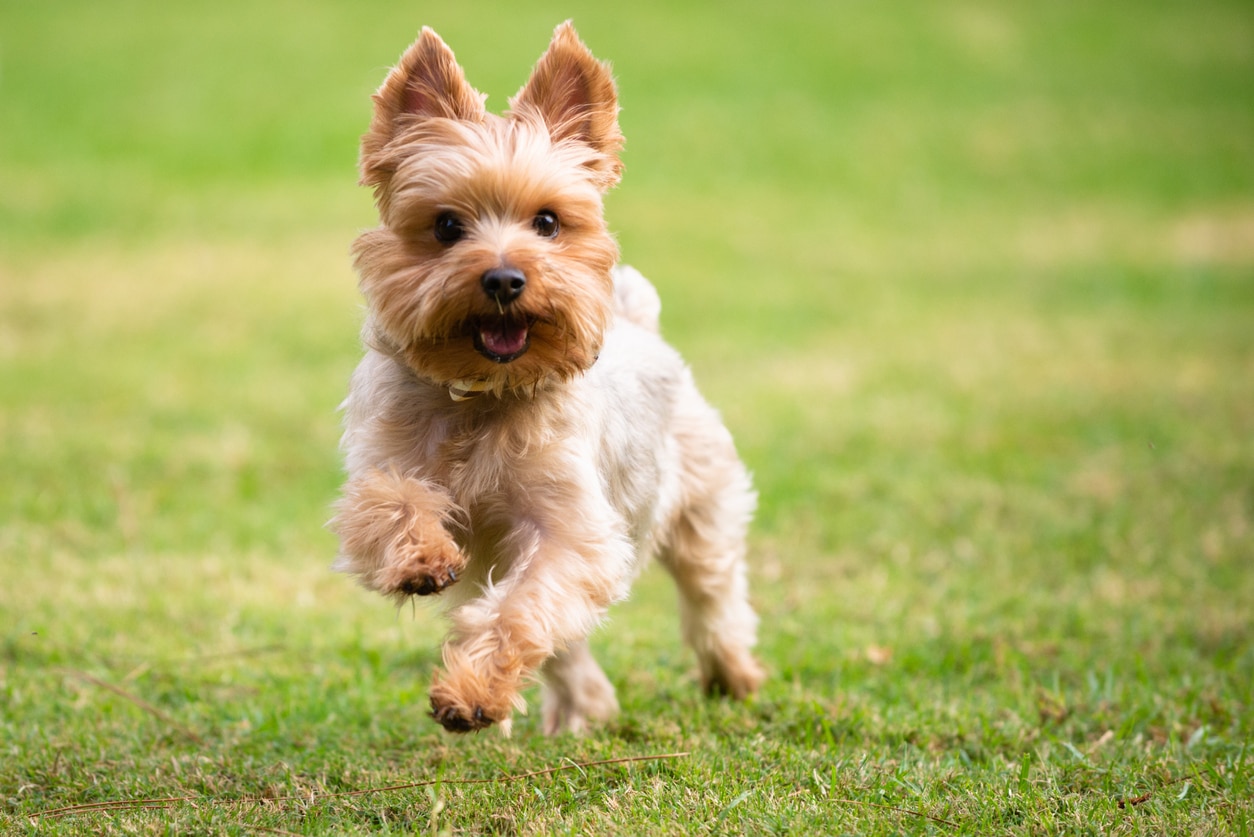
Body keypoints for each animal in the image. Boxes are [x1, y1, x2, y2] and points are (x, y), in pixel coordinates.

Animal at [333, 22, 762, 737]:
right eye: (446, 225)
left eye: (548, 222)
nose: (505, 279)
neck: (481, 392)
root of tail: (638, 320)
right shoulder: (382, 463)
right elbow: (388, 501)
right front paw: (422, 560)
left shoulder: (571, 527)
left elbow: (521, 608)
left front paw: (471, 692)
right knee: (570, 641)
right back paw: (584, 707)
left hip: (701, 502)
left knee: (711, 593)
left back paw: (732, 675)